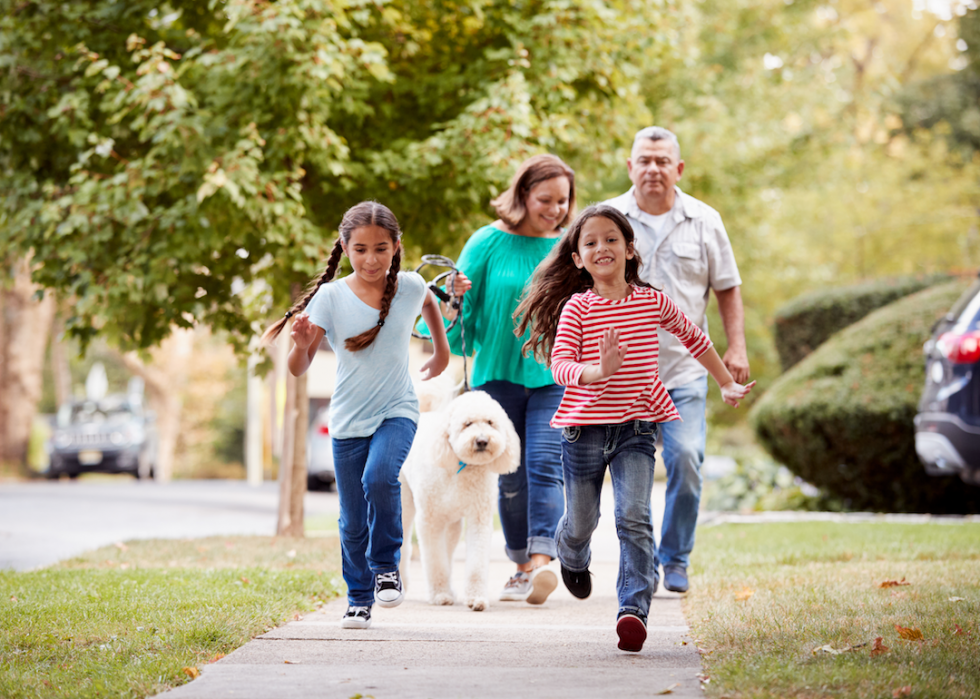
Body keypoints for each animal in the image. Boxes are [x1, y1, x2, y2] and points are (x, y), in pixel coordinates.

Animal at [398, 392, 520, 608]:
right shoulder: (429, 520)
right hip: (405, 502)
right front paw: (440, 595)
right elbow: (435, 561)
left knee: (448, 549)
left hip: (452, 523)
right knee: (404, 545)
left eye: (490, 422)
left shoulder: (479, 519)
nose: (482, 440)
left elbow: (476, 563)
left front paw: (476, 598)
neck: (462, 466)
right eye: (467, 424)